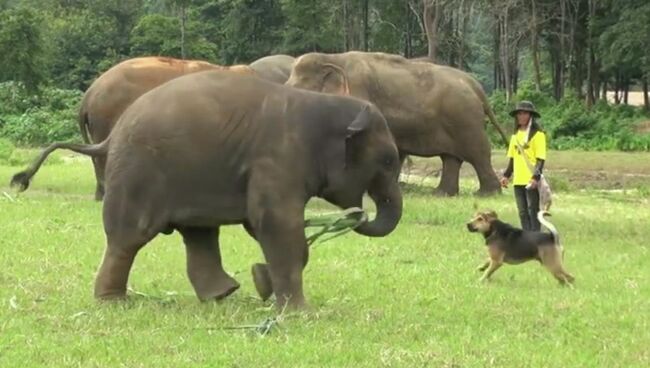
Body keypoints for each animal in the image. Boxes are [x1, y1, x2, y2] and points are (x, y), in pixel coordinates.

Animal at [11, 70, 400, 310]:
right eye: (389, 162)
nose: (358, 214)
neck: (322, 106)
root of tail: (110, 137)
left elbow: (261, 226)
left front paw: (264, 283)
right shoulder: (277, 160)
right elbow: (276, 224)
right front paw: (299, 311)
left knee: (198, 234)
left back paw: (221, 295)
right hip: (138, 173)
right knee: (129, 237)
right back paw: (114, 302)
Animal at [284, 51, 506, 198]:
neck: (332, 57)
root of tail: (475, 85)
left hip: (465, 118)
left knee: (478, 153)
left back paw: (486, 194)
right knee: (451, 158)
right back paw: (442, 194)